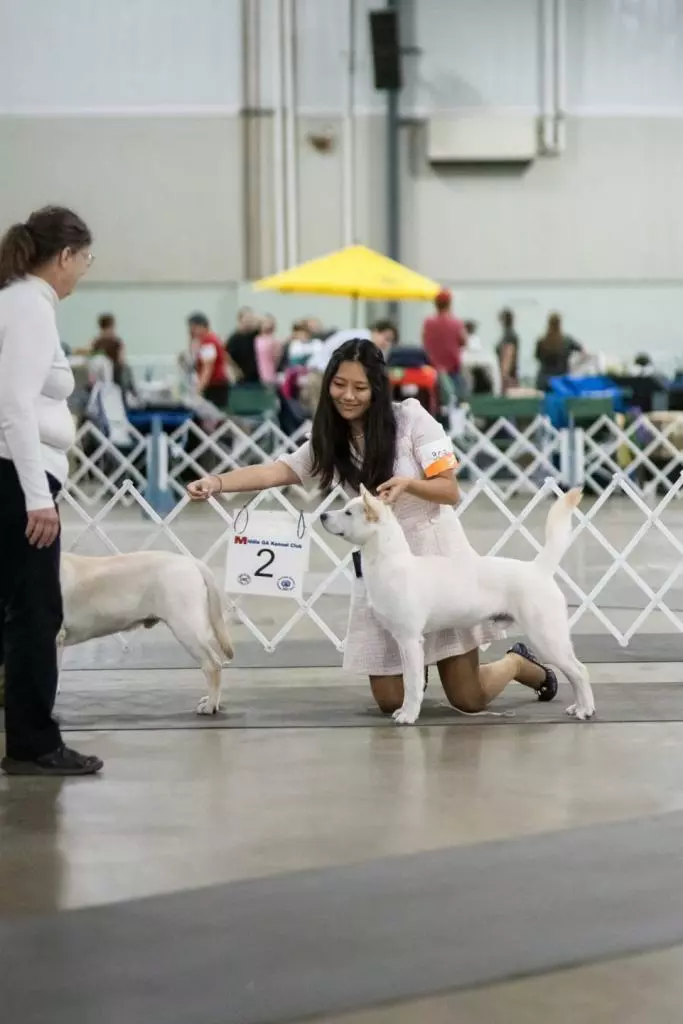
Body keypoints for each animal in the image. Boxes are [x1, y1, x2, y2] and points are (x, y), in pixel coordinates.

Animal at [321, 483, 593, 724]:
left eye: (348, 512)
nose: (323, 515)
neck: (389, 563)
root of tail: (539, 569)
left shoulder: (410, 640)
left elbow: (412, 682)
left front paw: (408, 716)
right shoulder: (402, 641)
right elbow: (410, 679)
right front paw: (404, 711)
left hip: (547, 638)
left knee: (579, 671)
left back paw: (585, 710)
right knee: (574, 672)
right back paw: (576, 706)